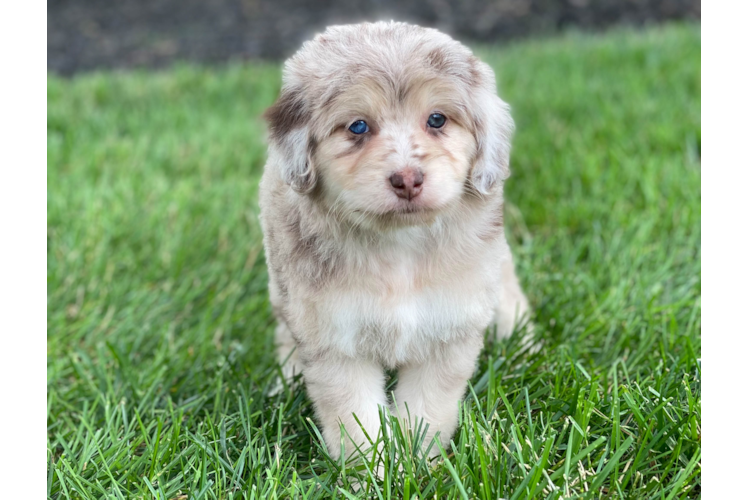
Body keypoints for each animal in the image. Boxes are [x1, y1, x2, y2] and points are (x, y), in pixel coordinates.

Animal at [260, 22, 528, 460]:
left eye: (437, 119)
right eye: (358, 126)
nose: (407, 179)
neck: (401, 244)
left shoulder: (448, 330)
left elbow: (426, 411)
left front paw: (417, 461)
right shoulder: (335, 338)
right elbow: (357, 421)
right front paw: (374, 470)